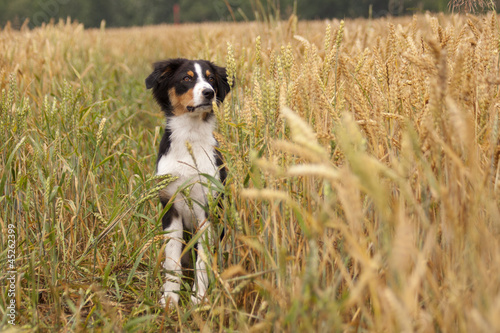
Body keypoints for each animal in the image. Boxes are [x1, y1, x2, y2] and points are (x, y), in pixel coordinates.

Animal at [145, 57, 230, 306]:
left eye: (211, 79)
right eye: (186, 78)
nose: (209, 92)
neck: (190, 137)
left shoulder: (207, 208)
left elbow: (203, 260)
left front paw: (199, 299)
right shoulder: (170, 206)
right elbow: (172, 260)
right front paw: (170, 299)